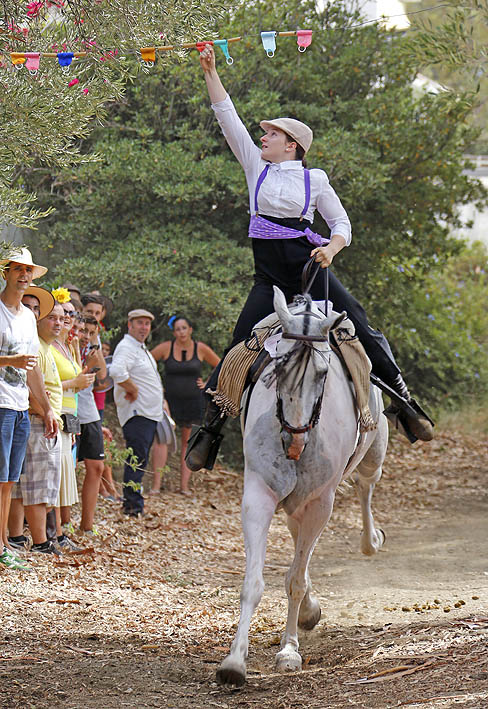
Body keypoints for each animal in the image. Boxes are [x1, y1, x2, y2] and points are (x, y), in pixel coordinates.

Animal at [217, 286, 388, 684]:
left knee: (366, 484)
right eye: (278, 366)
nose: (293, 439)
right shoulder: (259, 495)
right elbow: (254, 582)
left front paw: (289, 651)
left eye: (323, 372)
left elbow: (294, 580)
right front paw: (234, 662)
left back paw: (370, 540)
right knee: (298, 540)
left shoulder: (320, 503)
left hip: (374, 450)